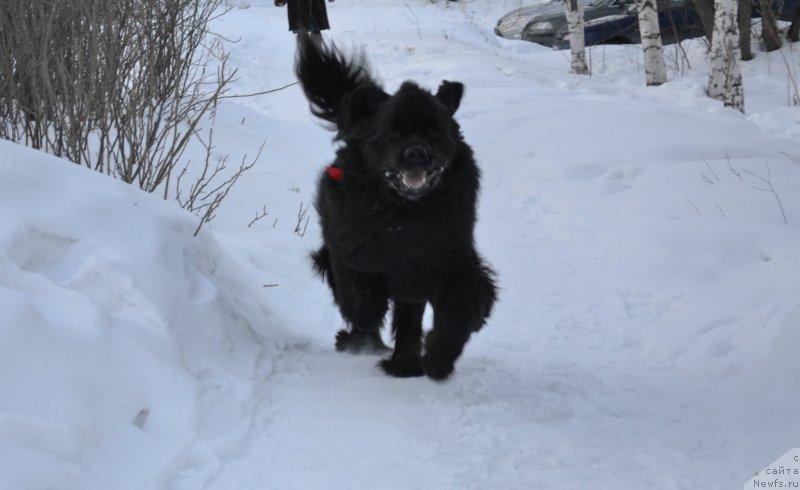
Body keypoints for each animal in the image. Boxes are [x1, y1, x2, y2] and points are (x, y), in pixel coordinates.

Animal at [294, 33, 494, 378]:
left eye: (433, 132)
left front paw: (438, 358)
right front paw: (363, 334)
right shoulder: (350, 251)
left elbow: (461, 307)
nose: (417, 153)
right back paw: (363, 344)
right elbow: (363, 302)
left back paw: (405, 363)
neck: (403, 214)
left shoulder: (450, 258)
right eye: (394, 131)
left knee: (409, 317)